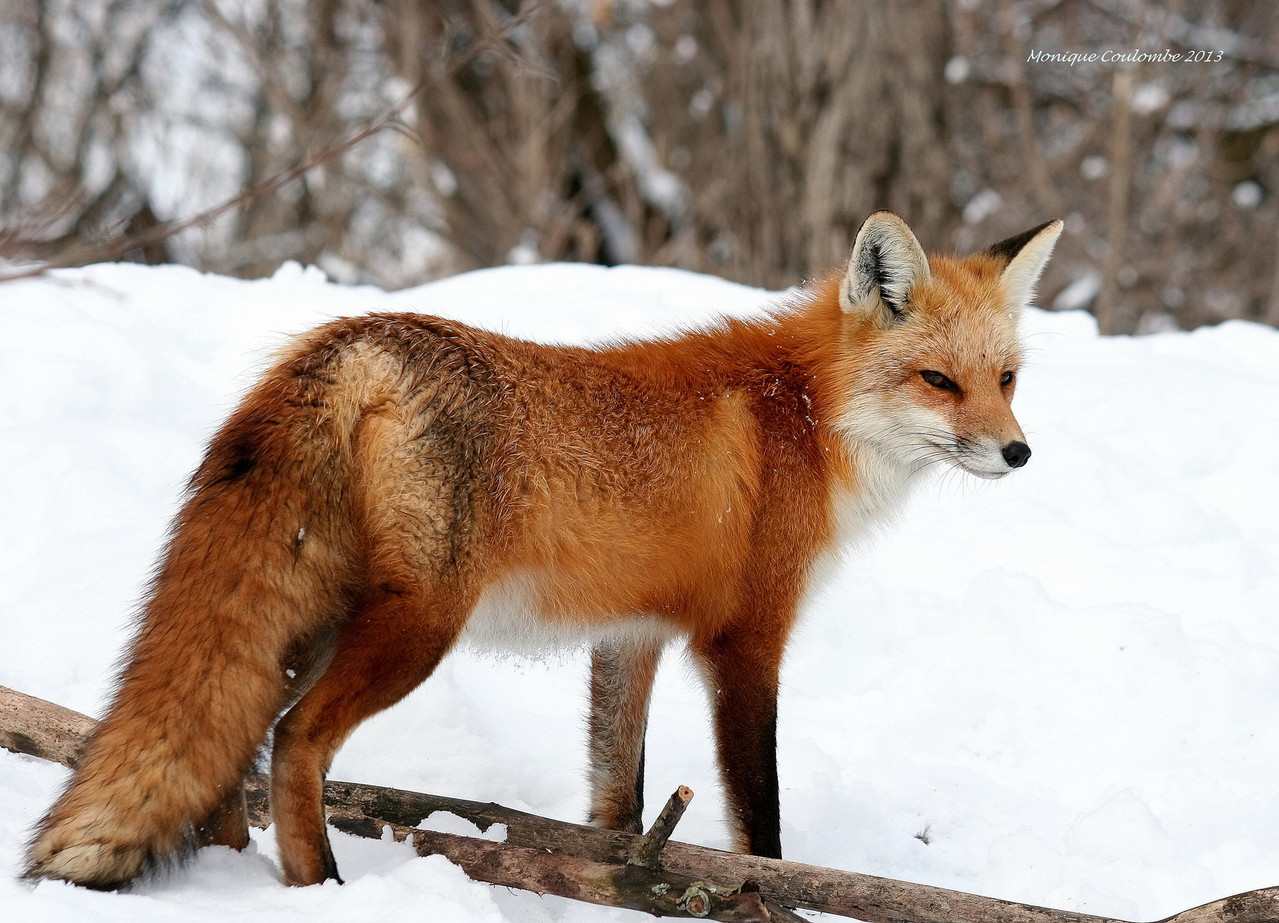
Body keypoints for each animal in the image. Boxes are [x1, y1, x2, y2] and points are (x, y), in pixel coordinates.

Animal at [24, 208, 1064, 884]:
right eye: (937, 380)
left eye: (1007, 378)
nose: (1018, 452)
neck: (804, 417)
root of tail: (353, 338)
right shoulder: (744, 641)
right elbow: (759, 818)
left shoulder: (632, 635)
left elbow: (617, 808)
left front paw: (623, 886)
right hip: (414, 629)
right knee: (293, 741)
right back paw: (317, 885)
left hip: (312, 620)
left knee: (228, 747)